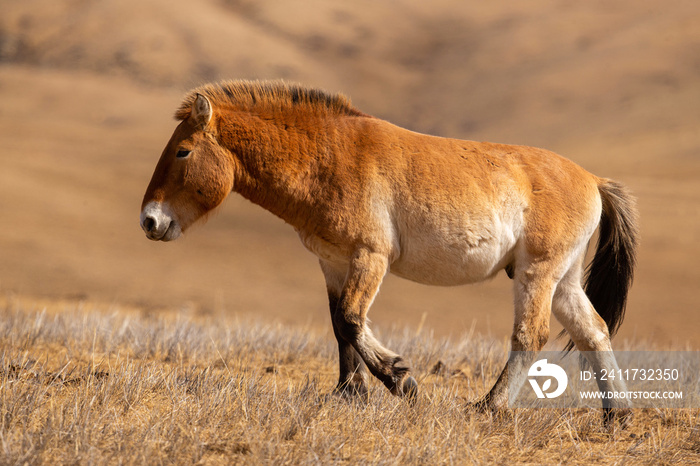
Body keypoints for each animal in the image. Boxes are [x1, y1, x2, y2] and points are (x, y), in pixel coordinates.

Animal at [141, 80, 640, 422]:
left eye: (183, 151)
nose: (150, 221)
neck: (329, 156)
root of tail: (593, 180)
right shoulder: (332, 263)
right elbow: (340, 326)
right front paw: (349, 393)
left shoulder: (370, 257)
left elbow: (351, 319)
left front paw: (401, 381)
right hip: (563, 280)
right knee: (594, 331)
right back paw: (617, 414)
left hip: (538, 273)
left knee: (529, 335)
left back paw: (489, 406)